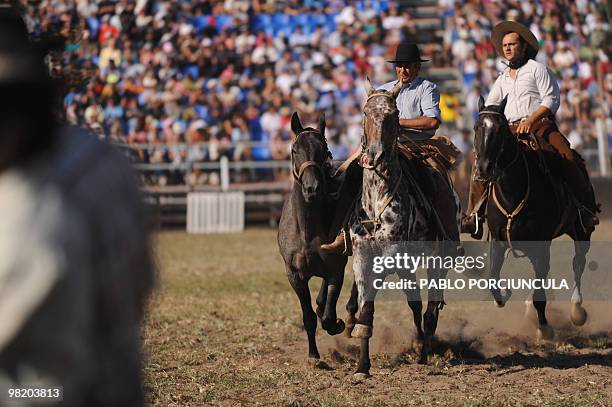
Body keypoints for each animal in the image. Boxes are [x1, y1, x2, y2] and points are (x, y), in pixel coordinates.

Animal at [278, 113, 350, 358]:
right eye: (294, 150)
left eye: (324, 150)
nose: (312, 188)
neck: (307, 231)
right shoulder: (294, 275)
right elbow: (308, 315)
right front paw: (313, 355)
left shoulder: (336, 270)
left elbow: (328, 315)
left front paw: (337, 324)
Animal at [346, 78, 452, 378]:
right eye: (365, 113)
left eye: (393, 116)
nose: (375, 154)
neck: (375, 199)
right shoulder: (361, 254)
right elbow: (365, 308)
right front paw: (362, 365)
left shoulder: (390, 253)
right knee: (416, 303)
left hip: (436, 258)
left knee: (430, 310)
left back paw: (425, 353)